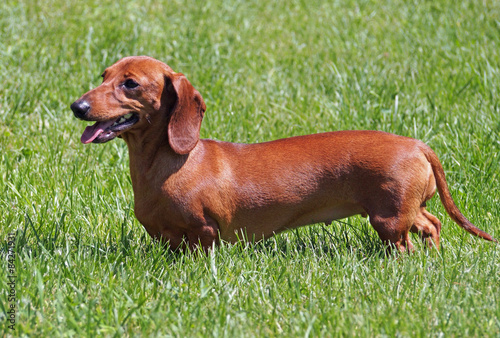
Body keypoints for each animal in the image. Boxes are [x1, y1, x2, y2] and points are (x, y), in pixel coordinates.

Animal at [71, 56, 496, 251]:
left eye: (130, 84)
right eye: (104, 75)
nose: (77, 106)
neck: (166, 166)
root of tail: (416, 144)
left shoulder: (204, 232)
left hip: (389, 219)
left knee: (407, 242)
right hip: (403, 211)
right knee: (431, 223)